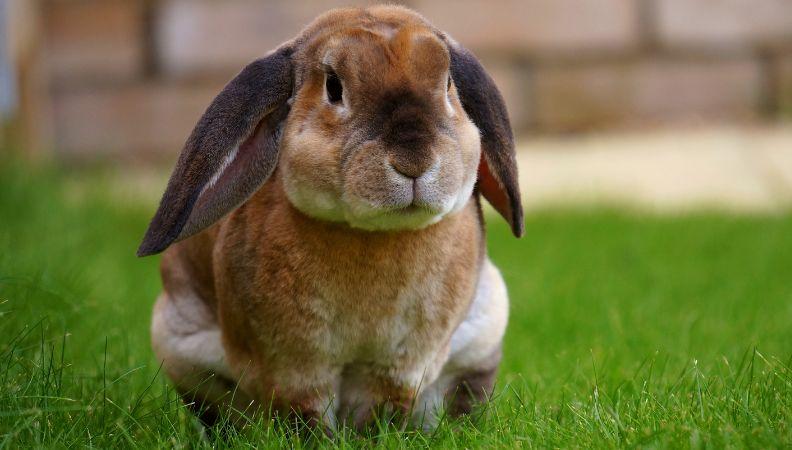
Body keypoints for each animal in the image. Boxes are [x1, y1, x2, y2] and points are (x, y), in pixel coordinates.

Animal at [139, 5, 522, 431]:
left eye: (448, 82)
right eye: (334, 87)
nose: (414, 161)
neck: (374, 235)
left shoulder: (398, 367)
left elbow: (382, 410)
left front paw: (374, 436)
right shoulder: (295, 368)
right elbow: (305, 414)